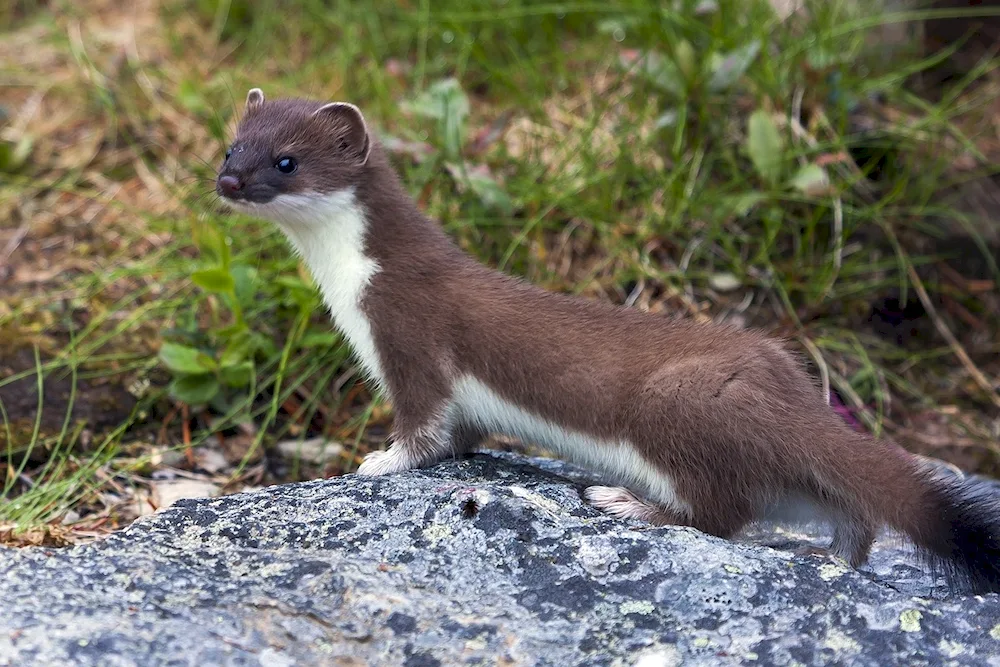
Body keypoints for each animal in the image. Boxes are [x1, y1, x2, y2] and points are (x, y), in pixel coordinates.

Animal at [213, 88, 1000, 596]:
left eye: (285, 160)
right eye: (230, 145)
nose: (228, 181)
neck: (348, 287)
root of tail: (787, 388)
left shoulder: (410, 339)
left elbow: (424, 426)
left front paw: (380, 459)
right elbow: (462, 433)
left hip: (673, 407)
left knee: (721, 513)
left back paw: (626, 501)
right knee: (843, 503)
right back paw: (836, 555)